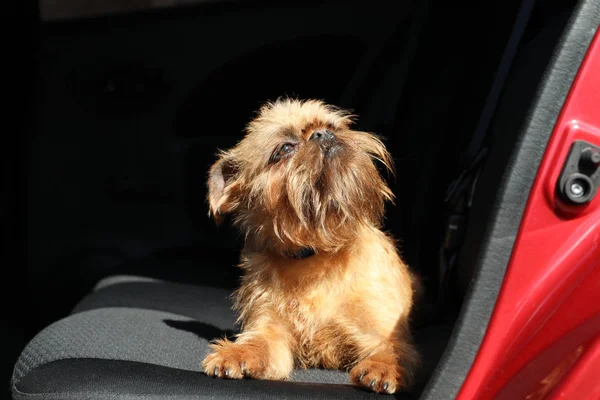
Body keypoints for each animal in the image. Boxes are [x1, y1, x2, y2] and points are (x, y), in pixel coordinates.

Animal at [200, 98, 418, 392]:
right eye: (284, 148)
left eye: (333, 127)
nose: (322, 134)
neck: (318, 252)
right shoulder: (271, 331)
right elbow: (258, 342)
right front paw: (238, 353)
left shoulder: (381, 330)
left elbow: (391, 349)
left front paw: (384, 368)